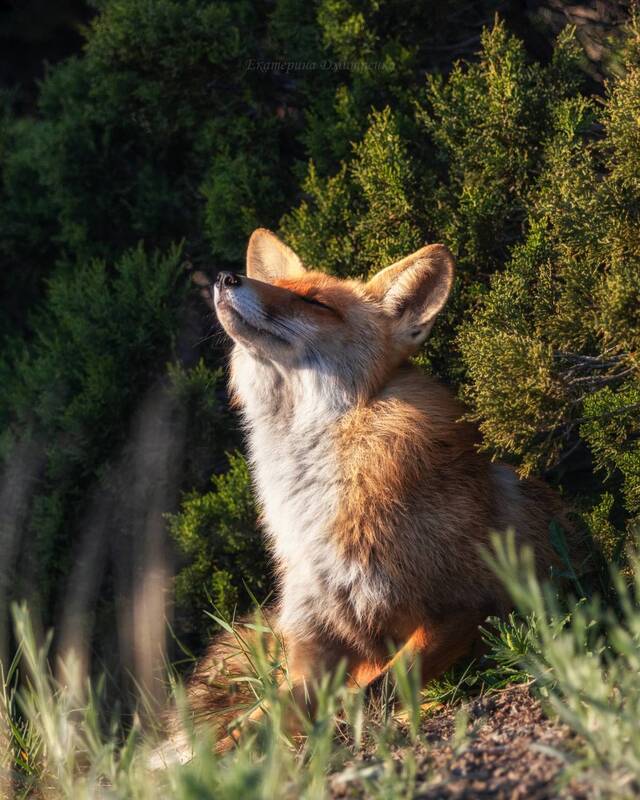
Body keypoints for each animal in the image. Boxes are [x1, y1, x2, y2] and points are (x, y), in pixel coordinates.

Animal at [153, 228, 571, 765]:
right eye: (281, 286)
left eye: (315, 302)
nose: (225, 278)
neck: (312, 506)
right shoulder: (315, 649)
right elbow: (251, 727)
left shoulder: (463, 607)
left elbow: (377, 689)